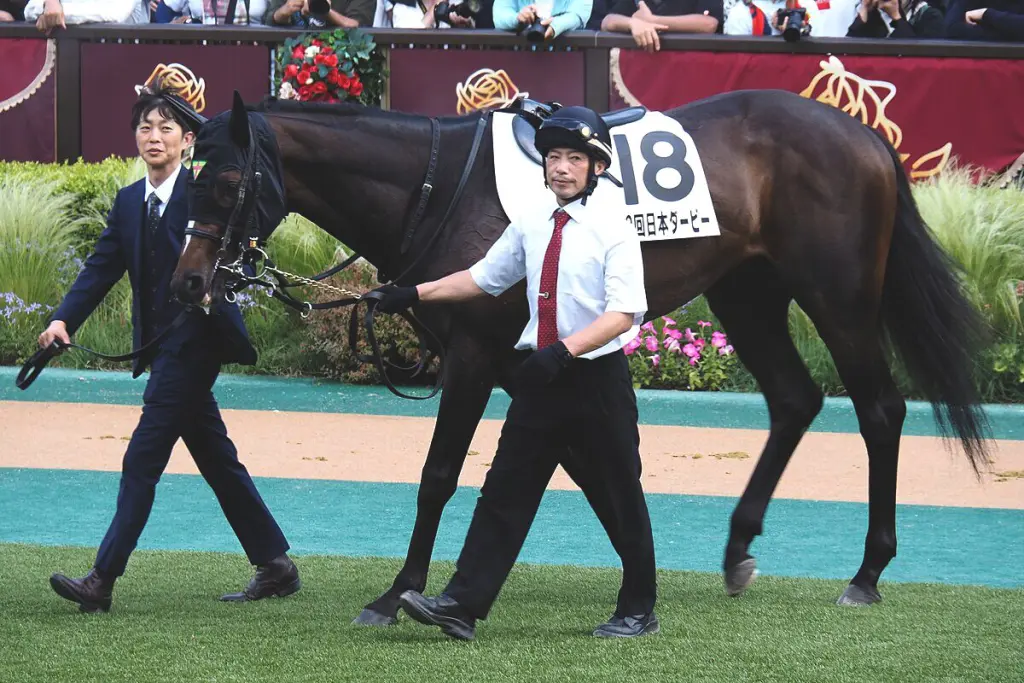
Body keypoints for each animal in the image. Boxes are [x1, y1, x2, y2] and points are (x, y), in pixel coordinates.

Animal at [170, 88, 992, 624]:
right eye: (186, 173)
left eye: (224, 179)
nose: (187, 282)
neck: (436, 185)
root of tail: (865, 135)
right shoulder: (528, 361)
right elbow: (589, 466)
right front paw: (633, 575)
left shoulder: (475, 355)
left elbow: (439, 476)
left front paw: (394, 593)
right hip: (746, 290)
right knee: (796, 398)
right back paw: (737, 549)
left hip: (838, 295)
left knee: (879, 409)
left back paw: (867, 571)